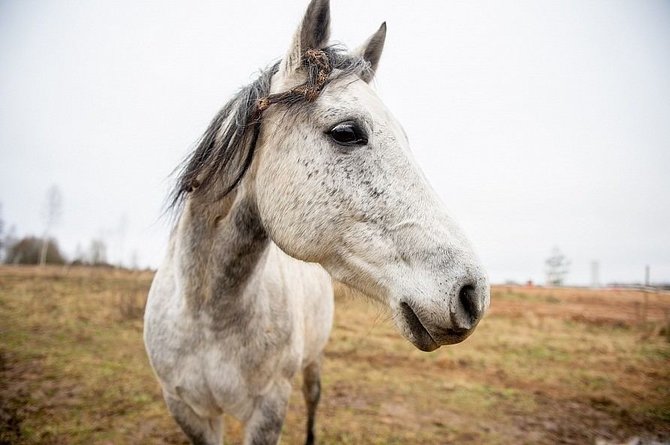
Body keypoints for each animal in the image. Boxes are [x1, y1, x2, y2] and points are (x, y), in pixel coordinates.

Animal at [144, 0, 490, 444]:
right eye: (346, 132)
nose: (472, 294)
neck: (206, 312)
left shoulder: (269, 408)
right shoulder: (187, 410)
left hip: (313, 364)